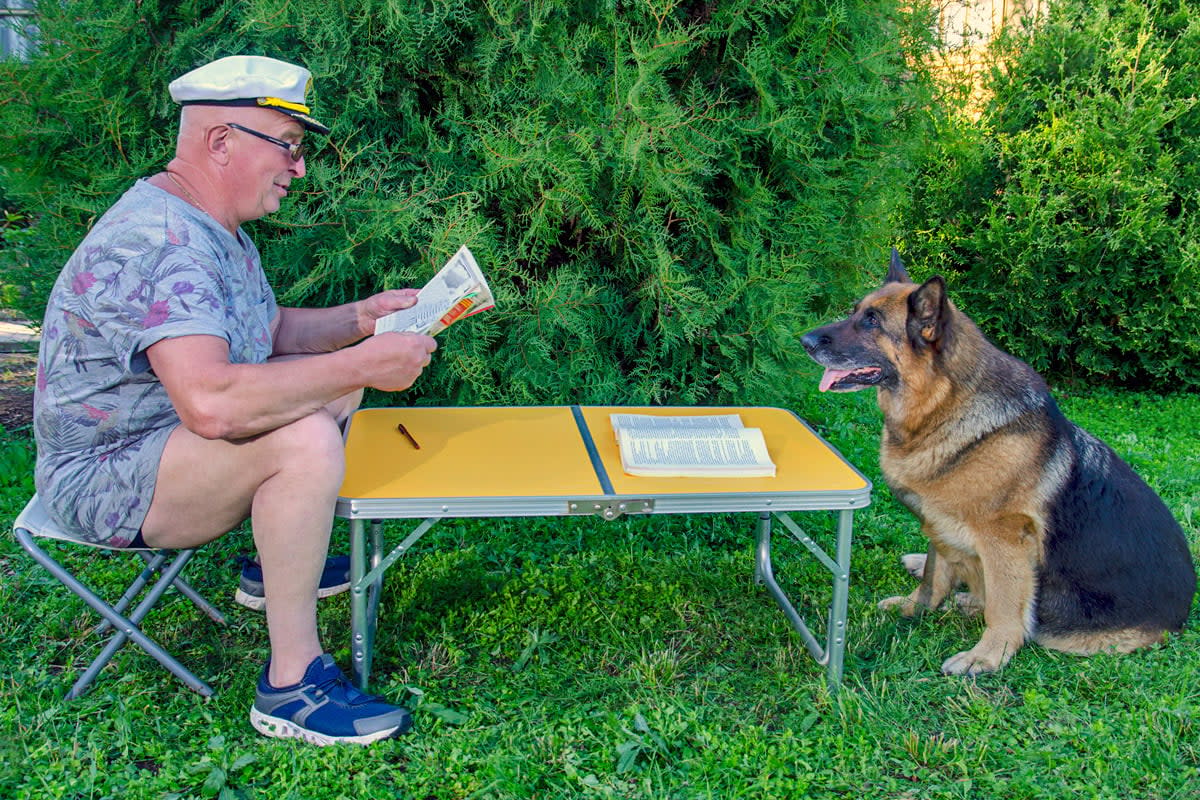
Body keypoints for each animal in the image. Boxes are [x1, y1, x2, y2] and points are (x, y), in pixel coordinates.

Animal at [801, 251, 1195, 676]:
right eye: (855, 312)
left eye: (872, 321)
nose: (803, 341)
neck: (945, 404)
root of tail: (1182, 616)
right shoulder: (938, 521)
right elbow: (934, 576)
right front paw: (915, 608)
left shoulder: (1004, 538)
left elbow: (1004, 607)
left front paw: (987, 656)